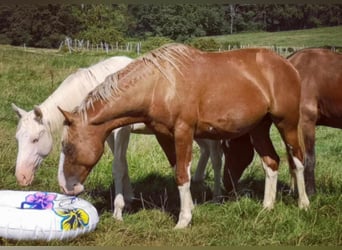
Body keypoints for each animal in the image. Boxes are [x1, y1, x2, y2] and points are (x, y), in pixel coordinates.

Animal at [11, 55, 222, 221]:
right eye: (18, 139)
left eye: (35, 139)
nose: (21, 177)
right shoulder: (106, 134)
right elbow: (123, 164)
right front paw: (128, 197)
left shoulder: (121, 131)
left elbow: (118, 166)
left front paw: (118, 211)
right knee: (204, 151)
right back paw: (197, 180)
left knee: (216, 156)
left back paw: (217, 195)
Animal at [58, 43, 310, 229]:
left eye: (68, 146)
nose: (66, 187)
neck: (160, 84)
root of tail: (287, 65)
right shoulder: (165, 135)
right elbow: (179, 172)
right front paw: (189, 210)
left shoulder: (183, 132)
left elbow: (182, 174)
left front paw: (183, 221)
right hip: (258, 128)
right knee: (271, 162)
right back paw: (267, 207)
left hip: (287, 123)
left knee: (298, 160)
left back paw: (304, 204)